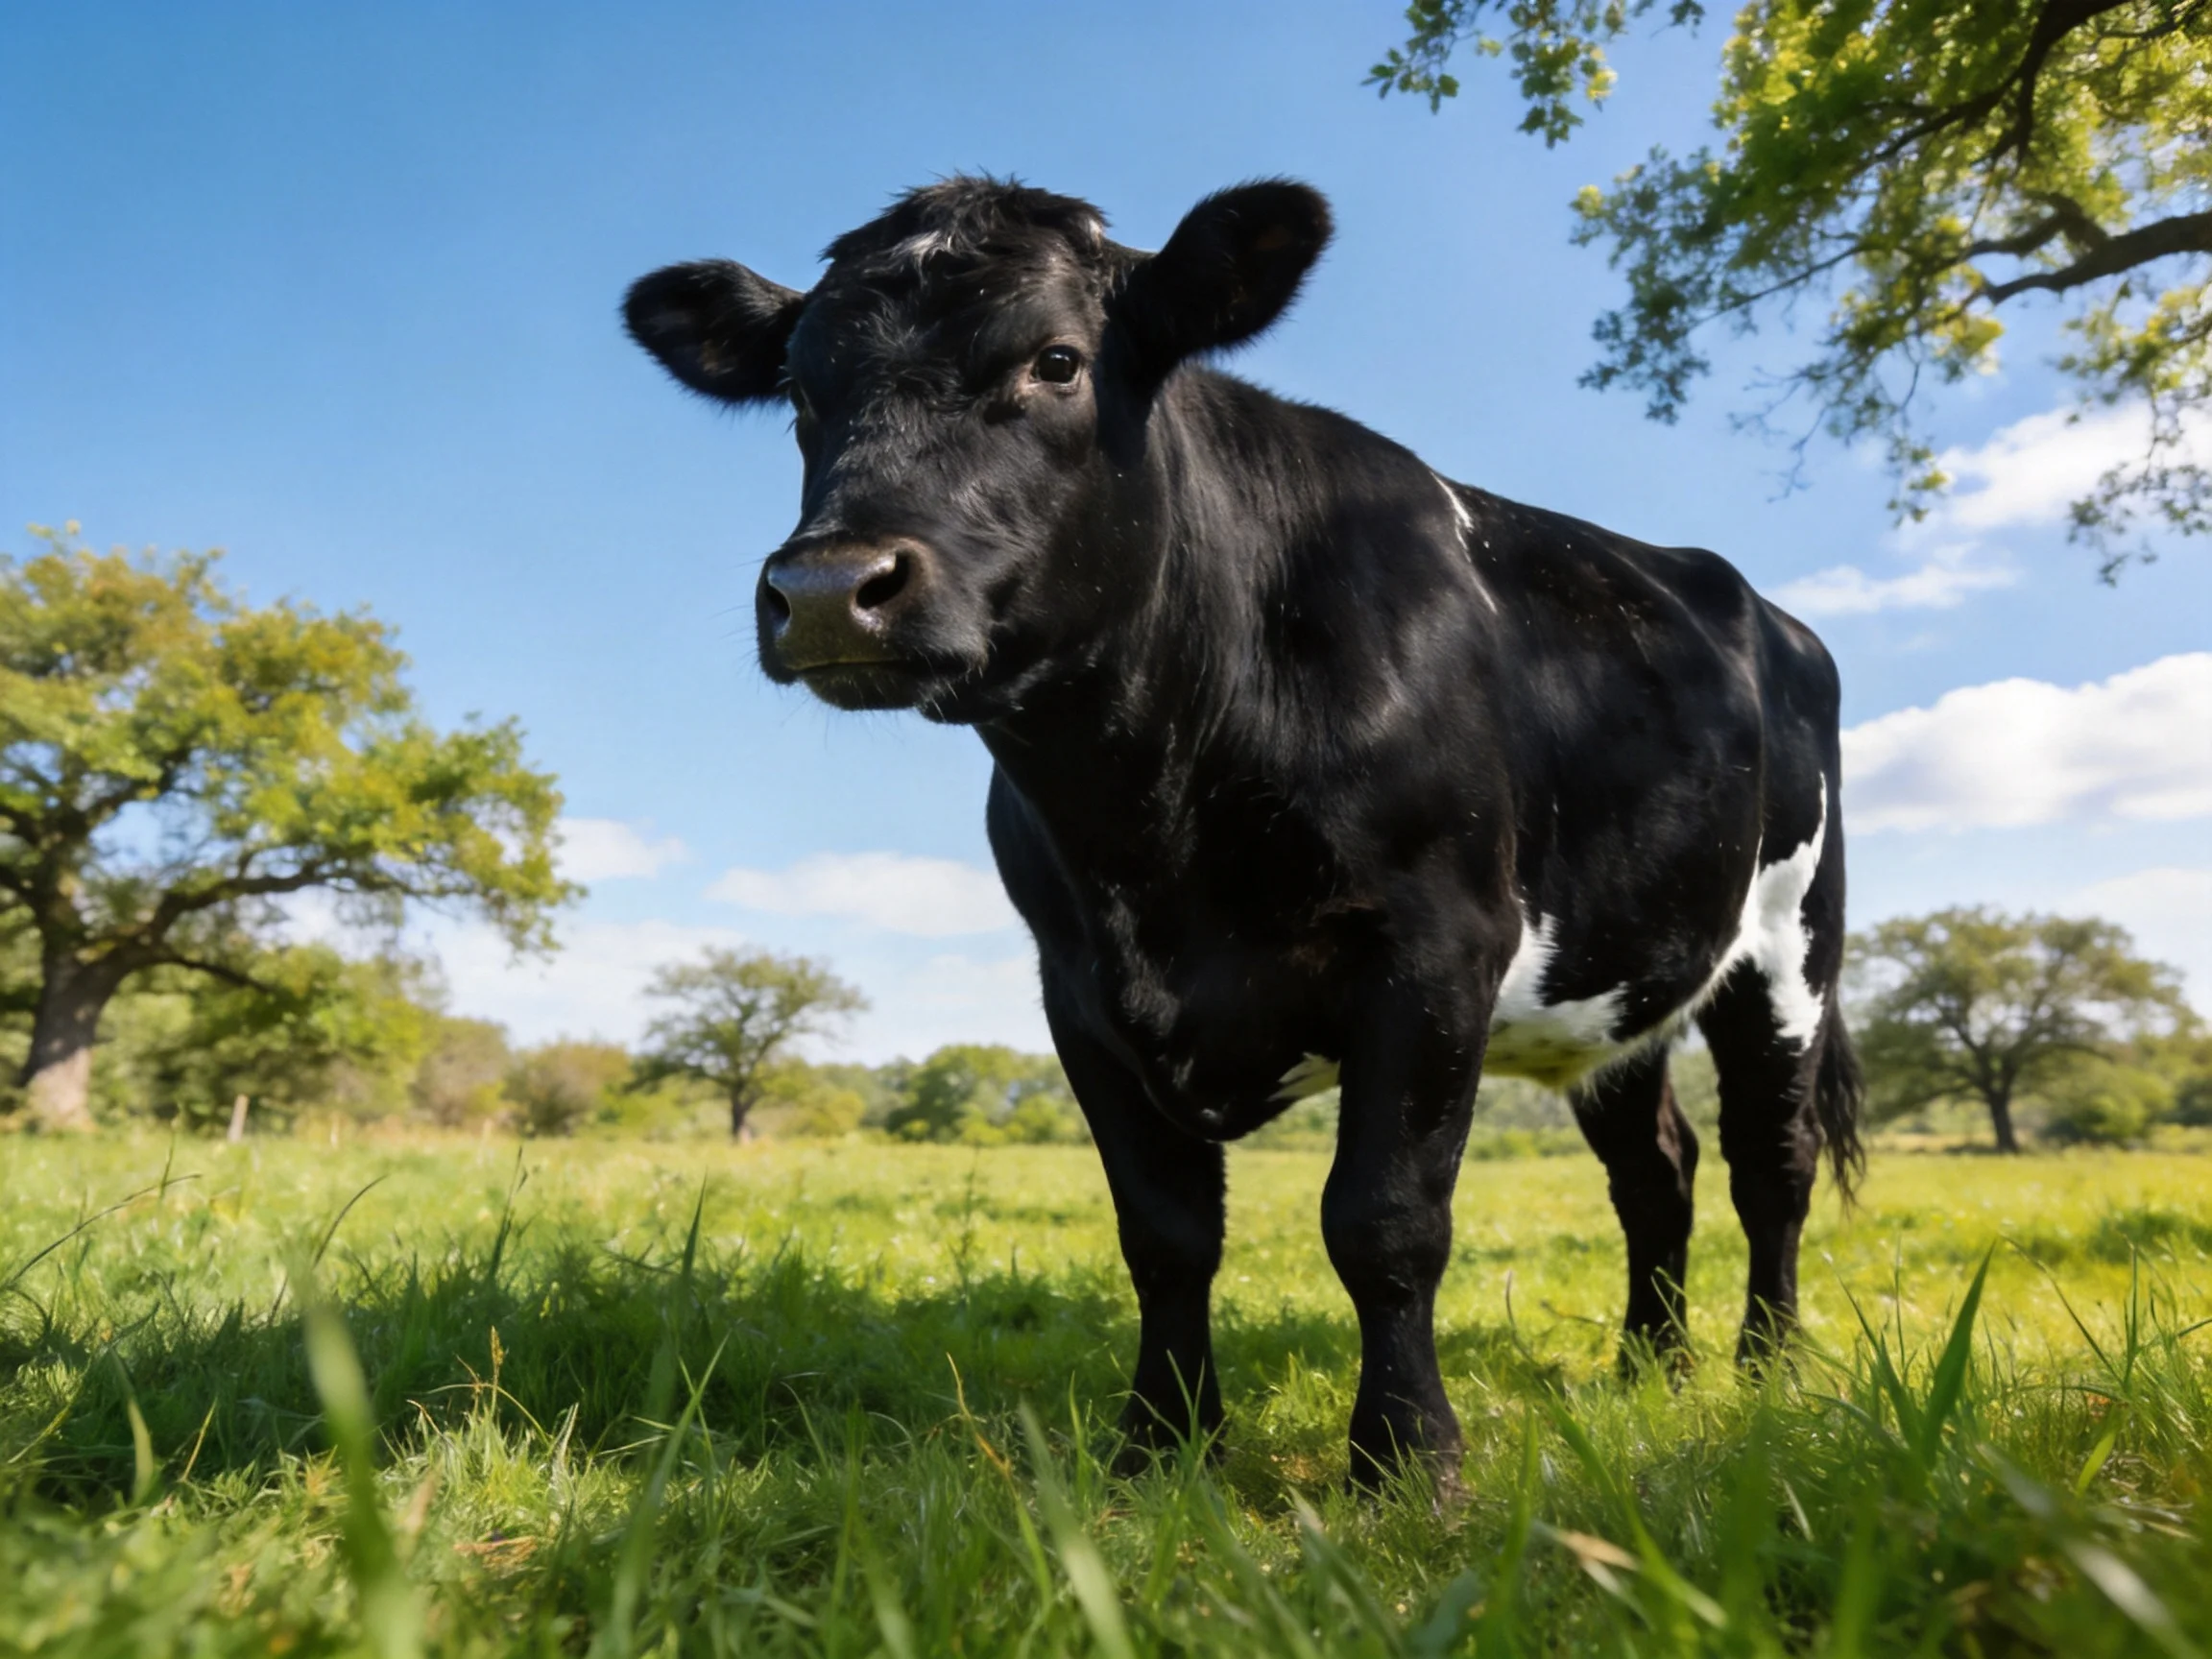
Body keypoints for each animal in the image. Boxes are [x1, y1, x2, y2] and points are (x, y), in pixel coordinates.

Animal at [623, 178, 1864, 1490]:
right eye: (803, 395)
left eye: (1056, 361)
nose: (826, 589)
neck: (1152, 822)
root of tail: (1764, 611)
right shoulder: (1080, 991)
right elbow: (1165, 1234)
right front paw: (1163, 1444)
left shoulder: (1438, 948)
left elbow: (1383, 1220)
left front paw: (1406, 1461)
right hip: (1615, 987)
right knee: (1656, 1171)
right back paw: (1649, 1368)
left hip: (1790, 948)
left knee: (1770, 1164)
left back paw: (1767, 1370)